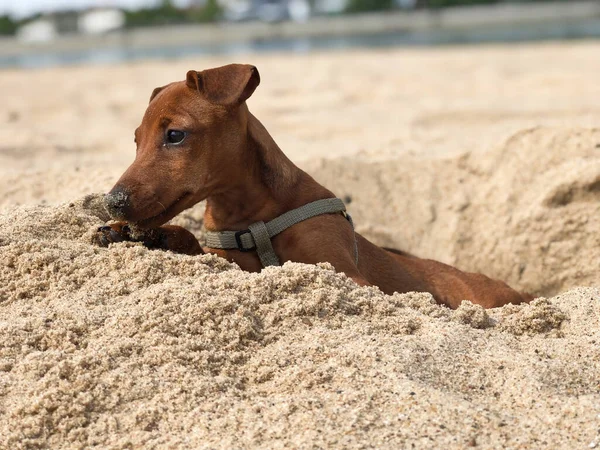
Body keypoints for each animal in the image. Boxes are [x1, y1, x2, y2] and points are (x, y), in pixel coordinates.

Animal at [97, 63, 528, 310]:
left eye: (174, 135)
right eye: (136, 141)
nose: (112, 202)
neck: (252, 218)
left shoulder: (346, 274)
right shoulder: (226, 254)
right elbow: (198, 246)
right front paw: (138, 235)